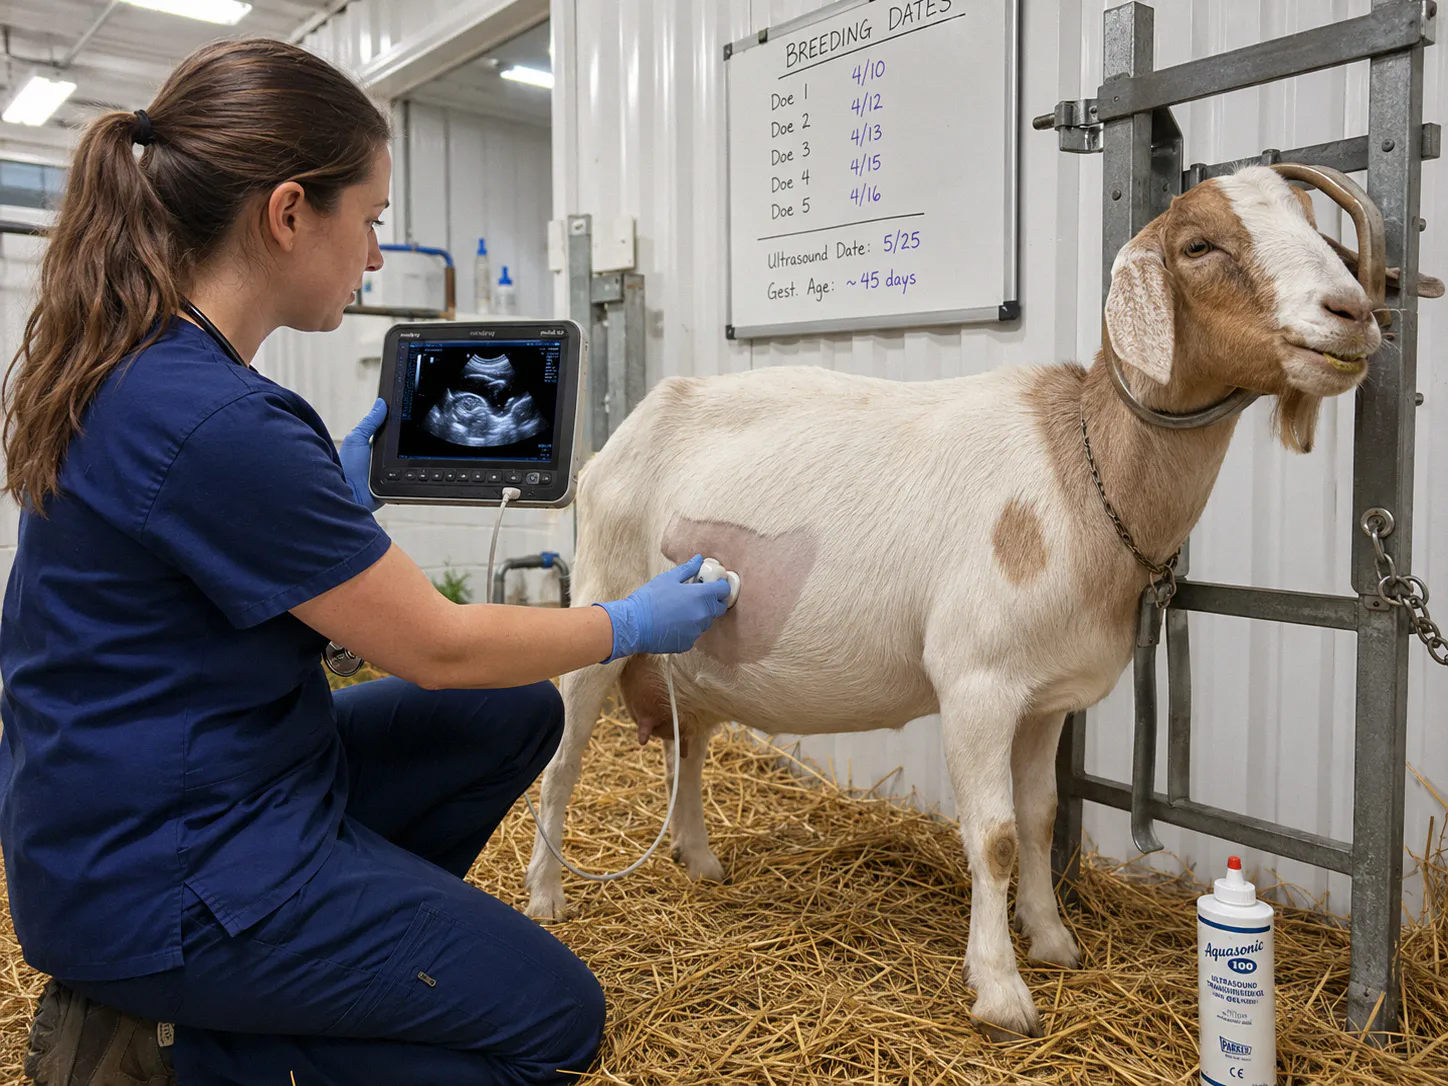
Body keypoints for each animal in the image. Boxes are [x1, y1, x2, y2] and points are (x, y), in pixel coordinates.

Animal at [524, 167, 1405, 1038]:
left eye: (1317, 228)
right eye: (1199, 246)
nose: (1352, 313)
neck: (1084, 468)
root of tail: (627, 430)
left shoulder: (1048, 697)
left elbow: (1042, 817)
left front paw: (1053, 941)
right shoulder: (977, 682)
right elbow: (997, 836)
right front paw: (1002, 991)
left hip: (696, 659)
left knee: (690, 748)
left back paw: (700, 860)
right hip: (601, 601)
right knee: (564, 760)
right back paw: (546, 895)